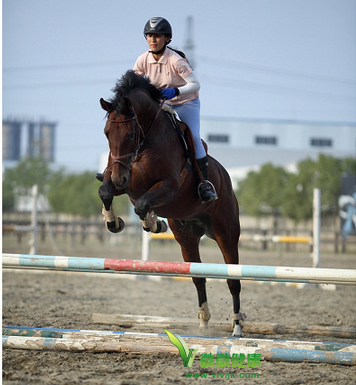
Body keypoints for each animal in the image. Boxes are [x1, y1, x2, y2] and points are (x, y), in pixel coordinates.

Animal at [96, 70, 245, 334]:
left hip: (226, 233)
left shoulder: (168, 188)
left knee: (232, 279)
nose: (119, 177)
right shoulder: (124, 183)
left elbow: (141, 205)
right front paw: (115, 223)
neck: (145, 142)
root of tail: (226, 177)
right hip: (186, 237)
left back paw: (237, 327)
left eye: (130, 134)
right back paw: (204, 320)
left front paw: (152, 223)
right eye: (106, 133)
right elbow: (106, 191)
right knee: (198, 276)